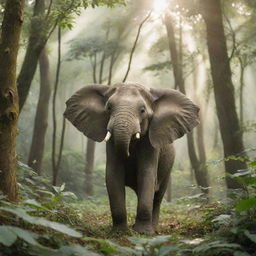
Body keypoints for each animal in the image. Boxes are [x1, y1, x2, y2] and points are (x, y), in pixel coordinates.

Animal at [64, 82, 200, 234]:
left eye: (142, 110)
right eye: (109, 107)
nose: (128, 154)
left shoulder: (150, 144)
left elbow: (147, 174)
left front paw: (143, 232)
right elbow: (113, 175)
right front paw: (119, 232)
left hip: (168, 168)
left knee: (158, 195)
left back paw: (154, 228)